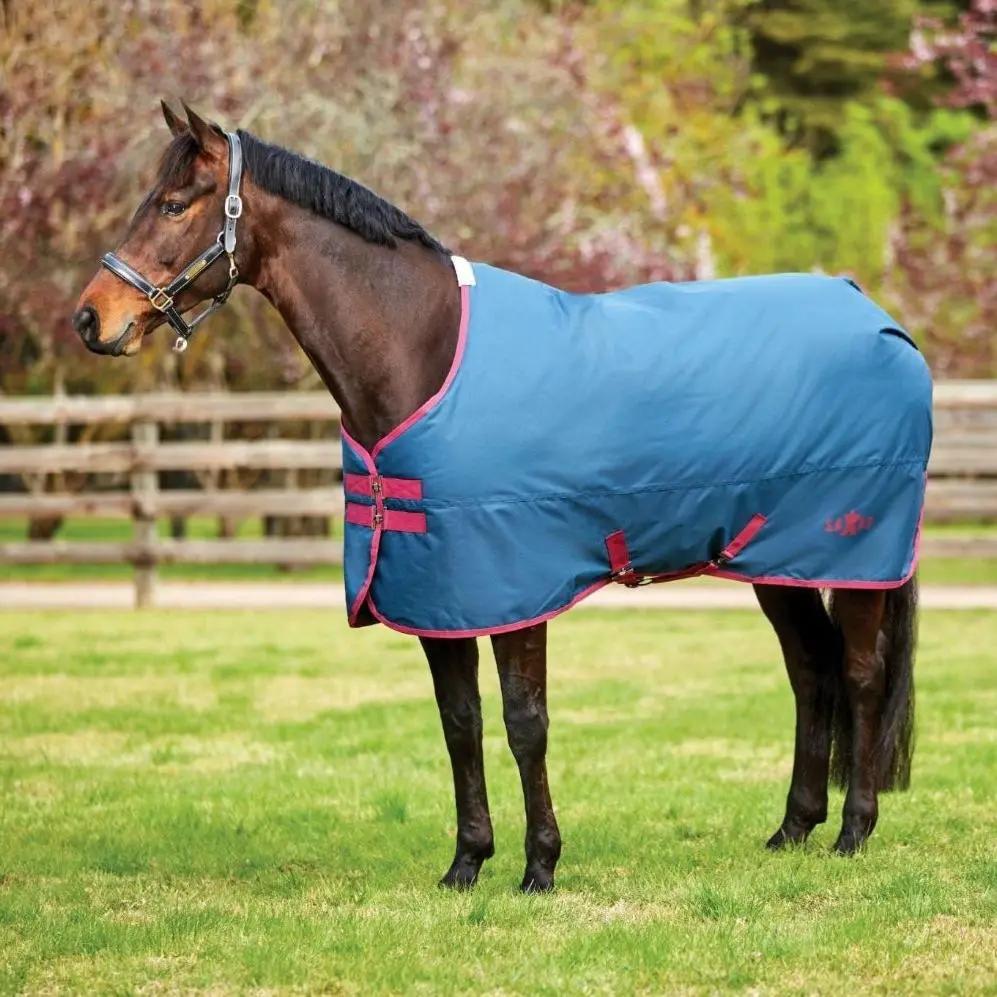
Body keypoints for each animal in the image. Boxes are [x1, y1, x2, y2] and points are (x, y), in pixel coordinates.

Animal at [74, 102, 925, 893]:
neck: (423, 350)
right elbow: (460, 722)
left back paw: (852, 831)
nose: (90, 318)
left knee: (857, 673)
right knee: (809, 670)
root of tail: (874, 313)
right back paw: (793, 828)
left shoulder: (516, 584)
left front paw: (539, 864)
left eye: (173, 204)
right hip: (772, 558)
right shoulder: (435, 589)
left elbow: (524, 723)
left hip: (851, 554)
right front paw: (466, 862)